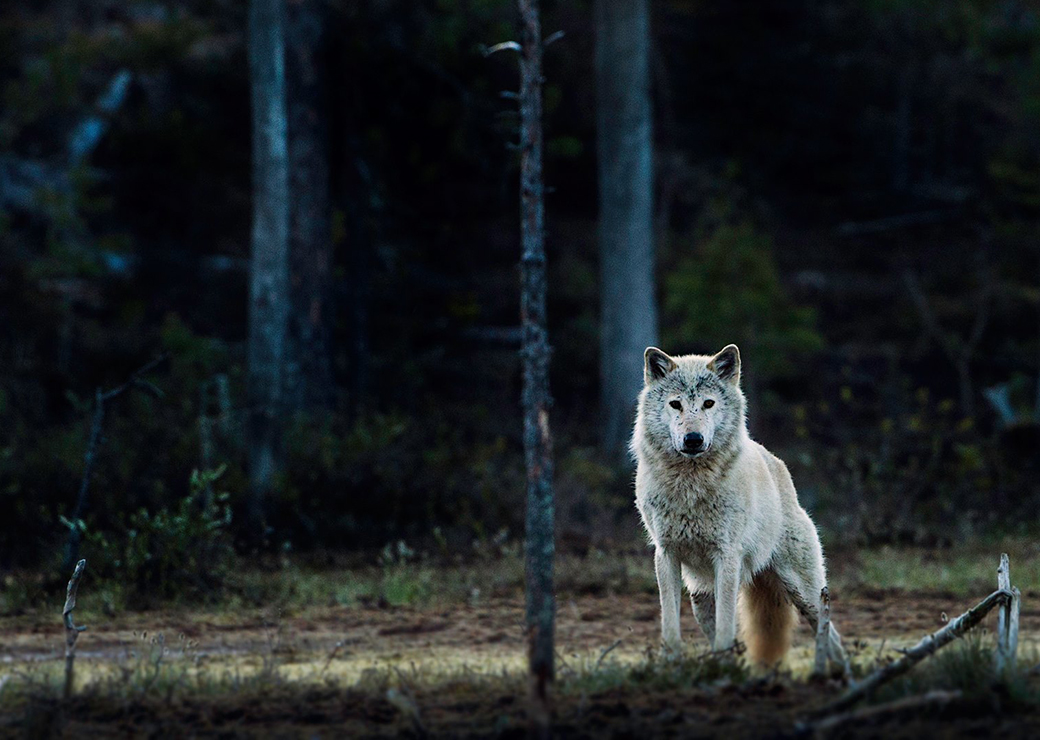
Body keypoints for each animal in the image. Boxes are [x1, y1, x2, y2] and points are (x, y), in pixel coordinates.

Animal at [632, 345, 844, 665]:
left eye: (708, 403)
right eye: (675, 404)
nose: (693, 439)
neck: (690, 486)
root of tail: (777, 464)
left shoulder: (727, 556)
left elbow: (726, 627)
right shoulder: (665, 555)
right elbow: (670, 626)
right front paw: (672, 664)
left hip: (805, 593)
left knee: (831, 636)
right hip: (700, 598)